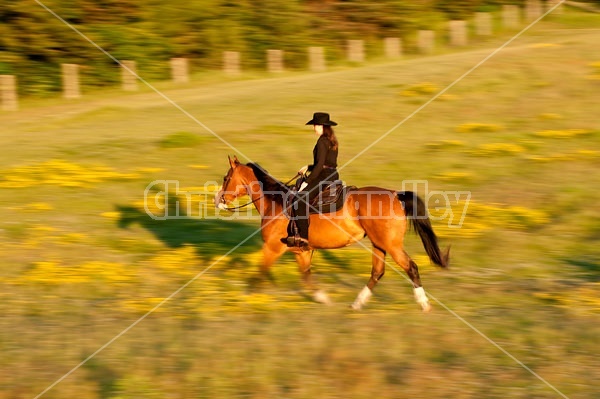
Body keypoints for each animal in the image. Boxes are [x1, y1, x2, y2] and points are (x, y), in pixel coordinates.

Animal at [216, 156, 450, 312]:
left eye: (226, 178)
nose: (218, 200)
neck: (277, 203)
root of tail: (395, 195)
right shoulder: (301, 251)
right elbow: (307, 276)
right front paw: (324, 299)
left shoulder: (273, 248)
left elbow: (260, 274)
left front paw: (246, 299)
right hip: (379, 244)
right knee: (377, 272)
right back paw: (357, 304)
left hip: (391, 245)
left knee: (411, 267)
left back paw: (424, 304)